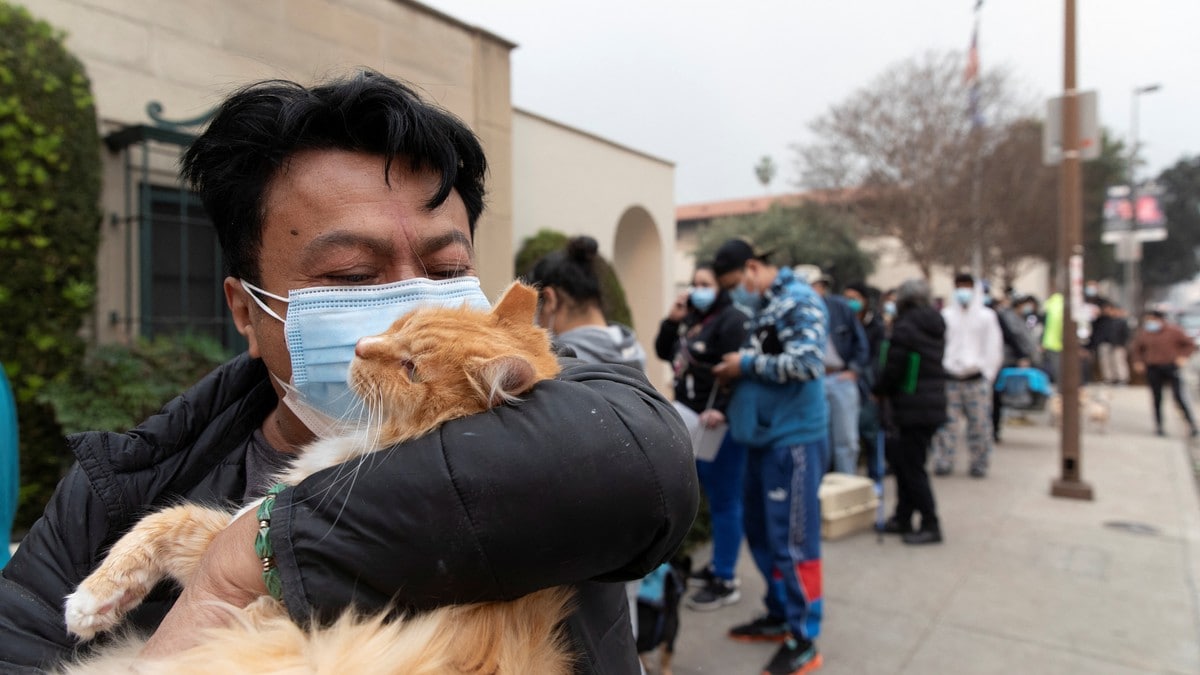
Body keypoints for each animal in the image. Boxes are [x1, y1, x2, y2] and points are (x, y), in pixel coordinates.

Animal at [58, 281, 573, 667]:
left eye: (410, 368)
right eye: (398, 326)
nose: (362, 346)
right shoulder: (218, 540)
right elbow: (161, 522)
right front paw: (92, 602)